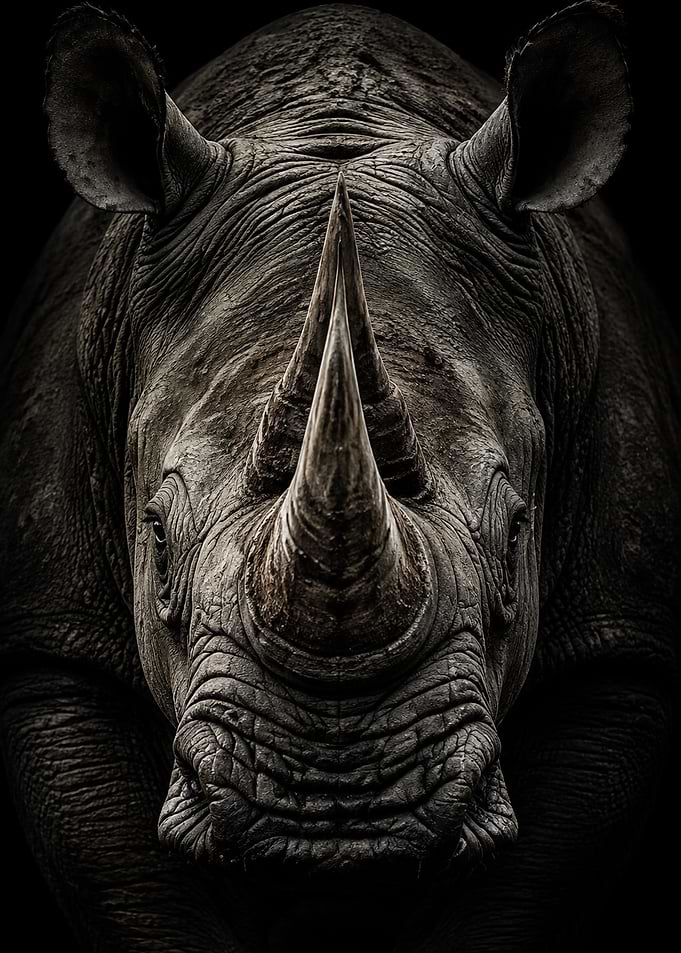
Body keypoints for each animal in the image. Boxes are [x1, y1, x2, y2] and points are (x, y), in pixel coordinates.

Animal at [1, 2, 679, 950]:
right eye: (157, 540)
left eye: (517, 533)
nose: (334, 817)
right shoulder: (54, 650)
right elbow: (135, 893)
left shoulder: (615, 657)